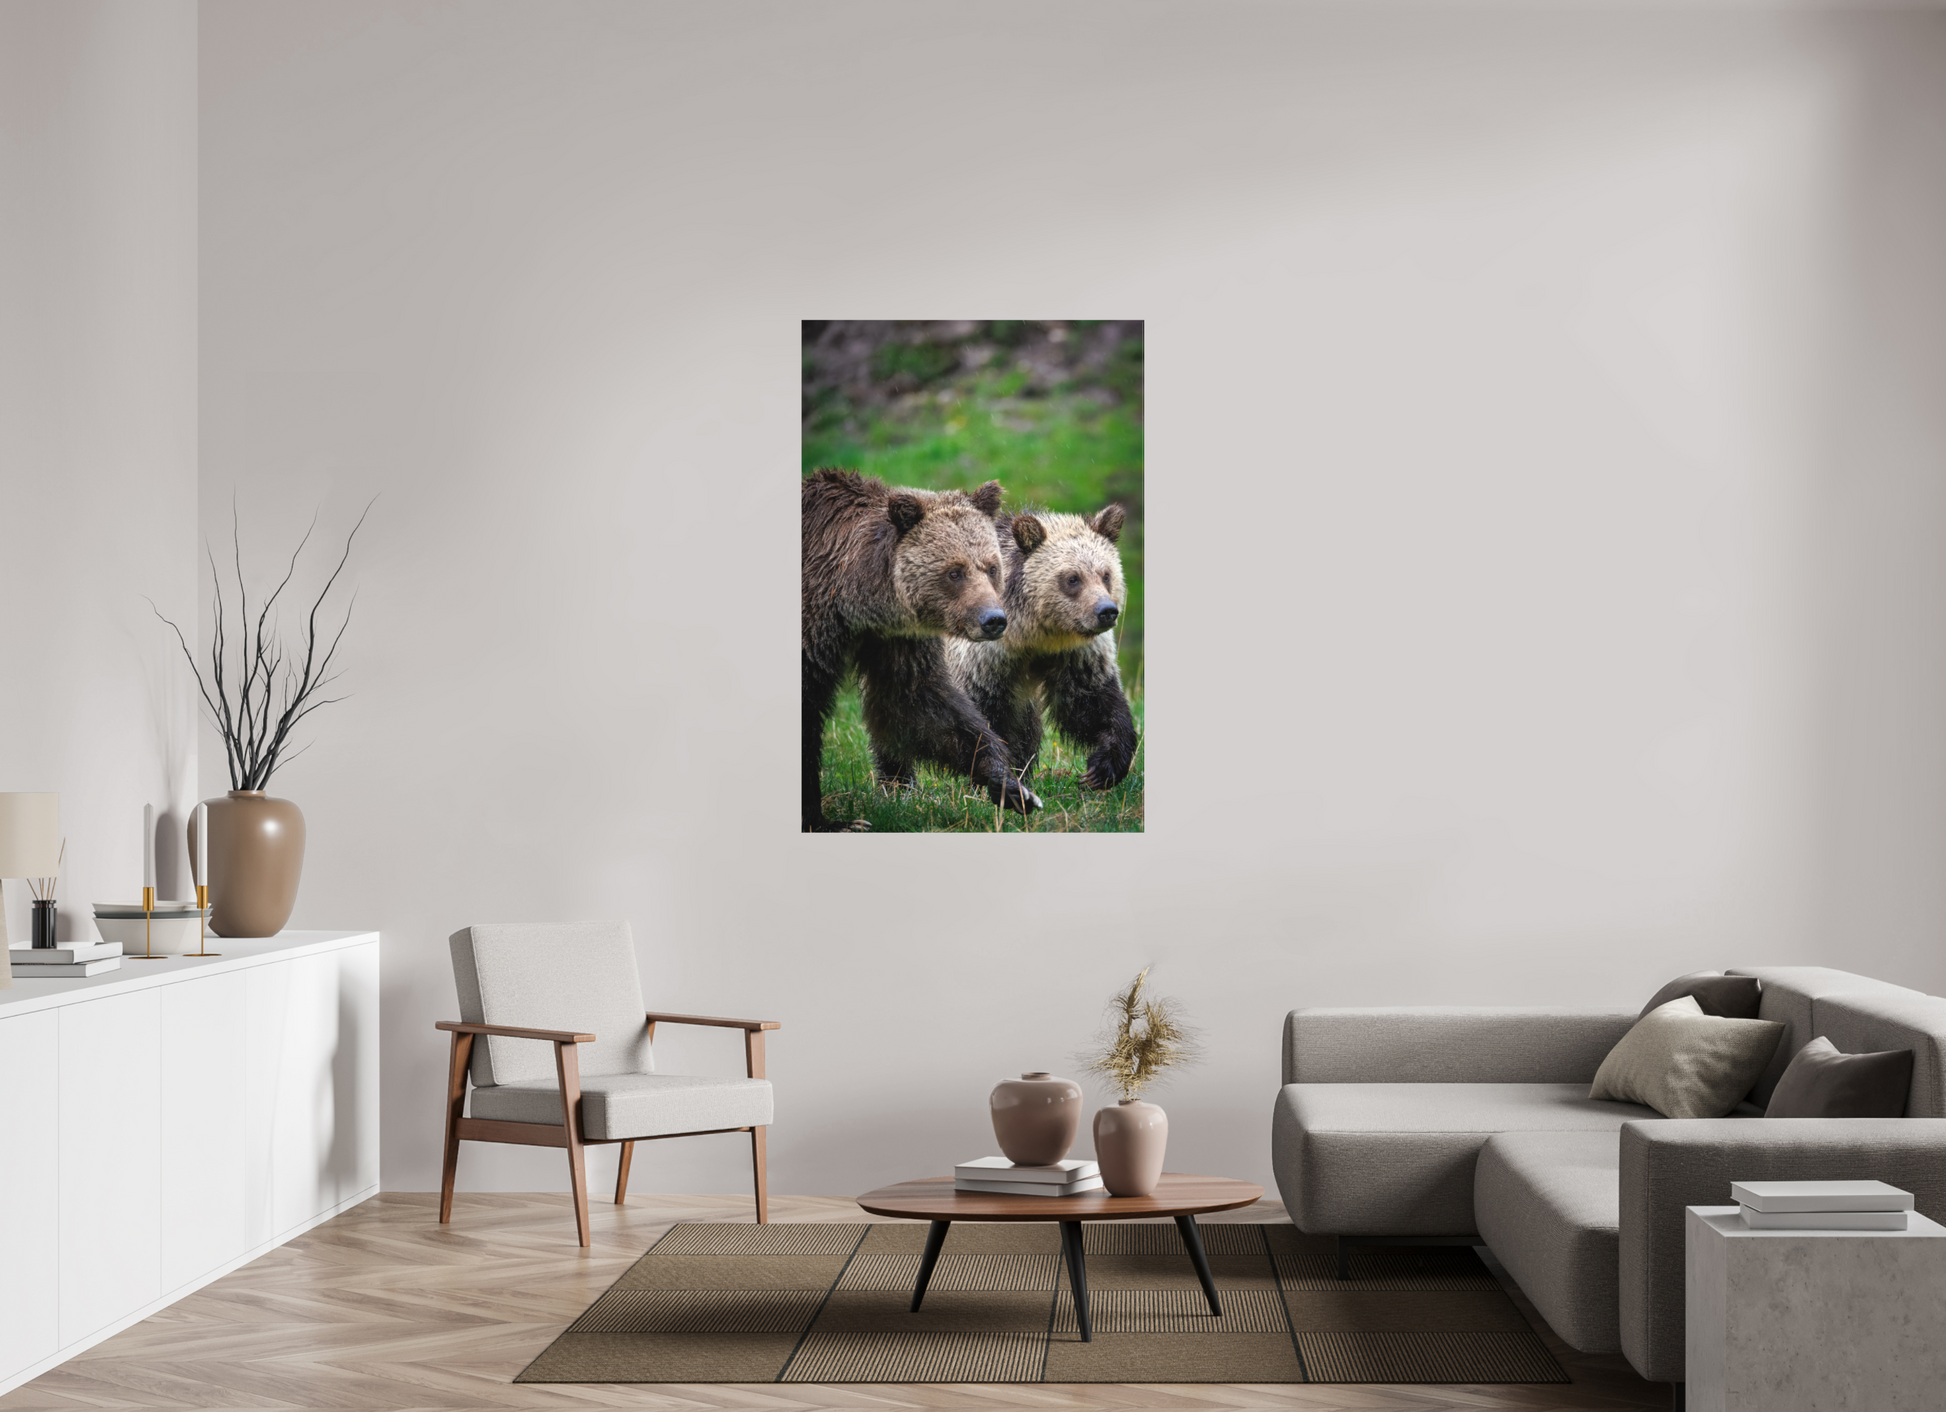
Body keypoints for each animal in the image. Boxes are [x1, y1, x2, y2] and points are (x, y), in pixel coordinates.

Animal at [801, 469, 1044, 832]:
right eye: (954, 572)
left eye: (991, 567)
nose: (994, 620)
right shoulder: (815, 629)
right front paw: (833, 821)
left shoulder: (895, 639)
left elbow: (917, 701)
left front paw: (1011, 785)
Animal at [930, 503, 1138, 792]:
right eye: (1072, 578)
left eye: (1106, 574)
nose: (1106, 611)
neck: (1033, 635)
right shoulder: (984, 659)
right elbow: (985, 715)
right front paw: (997, 777)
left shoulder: (1076, 655)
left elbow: (1091, 701)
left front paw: (1102, 768)